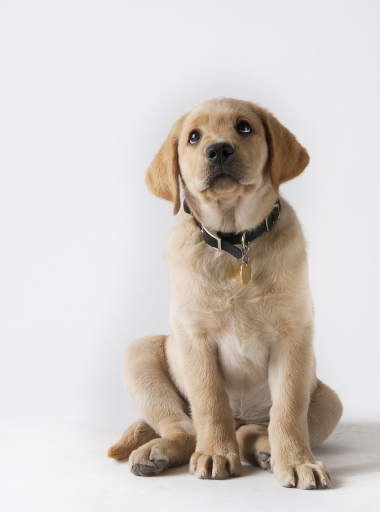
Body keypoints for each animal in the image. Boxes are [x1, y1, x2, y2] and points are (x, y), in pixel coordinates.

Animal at [108, 98, 342, 490]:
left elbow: (288, 409)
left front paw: (297, 461)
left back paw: (264, 449)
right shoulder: (194, 336)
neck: (236, 242)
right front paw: (216, 453)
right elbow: (209, 401)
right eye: (193, 137)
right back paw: (159, 453)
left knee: (255, 429)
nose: (218, 149)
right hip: (139, 354)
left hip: (329, 400)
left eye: (244, 127)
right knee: (184, 427)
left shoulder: (294, 334)